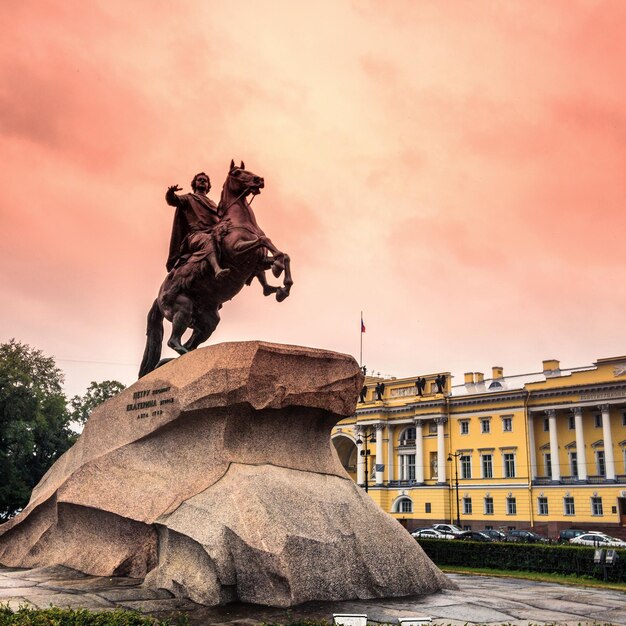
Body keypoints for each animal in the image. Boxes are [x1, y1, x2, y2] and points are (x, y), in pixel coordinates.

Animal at [138, 161, 292, 376]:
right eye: (237, 173)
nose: (259, 180)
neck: (238, 221)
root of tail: (158, 298)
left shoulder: (257, 262)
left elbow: (283, 255)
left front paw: (282, 287)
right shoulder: (237, 252)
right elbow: (265, 240)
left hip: (209, 321)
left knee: (191, 342)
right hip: (182, 308)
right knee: (174, 341)